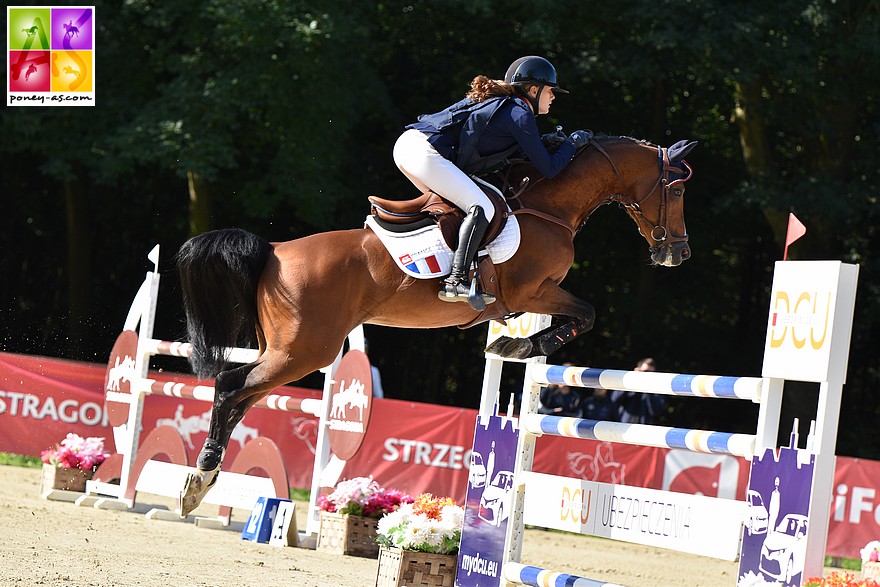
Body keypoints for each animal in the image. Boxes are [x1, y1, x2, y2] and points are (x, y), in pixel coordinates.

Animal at [175, 136, 696, 512]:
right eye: (677, 190)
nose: (680, 254)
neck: (549, 207)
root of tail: (274, 251)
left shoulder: (535, 295)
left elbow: (579, 315)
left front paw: (516, 345)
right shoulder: (532, 292)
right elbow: (586, 314)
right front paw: (519, 347)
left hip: (285, 351)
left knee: (241, 395)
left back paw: (203, 479)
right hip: (303, 352)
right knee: (230, 385)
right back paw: (200, 475)